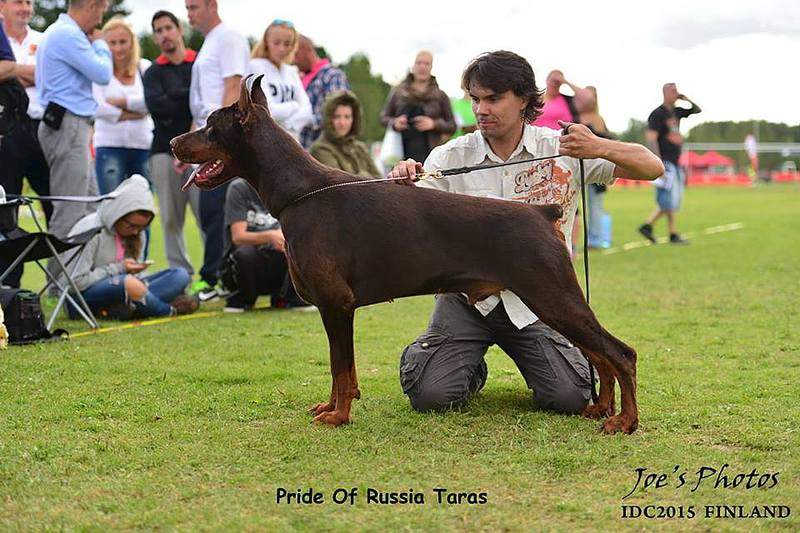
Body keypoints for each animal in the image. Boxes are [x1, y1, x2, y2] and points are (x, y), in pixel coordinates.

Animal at [172, 77, 640, 434]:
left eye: (210, 126)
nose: (175, 141)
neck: (299, 193)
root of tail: (542, 214)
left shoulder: (336, 304)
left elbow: (341, 368)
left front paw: (339, 416)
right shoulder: (333, 308)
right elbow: (339, 368)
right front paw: (330, 407)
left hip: (551, 293)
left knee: (620, 354)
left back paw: (624, 421)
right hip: (551, 298)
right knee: (601, 355)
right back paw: (600, 409)